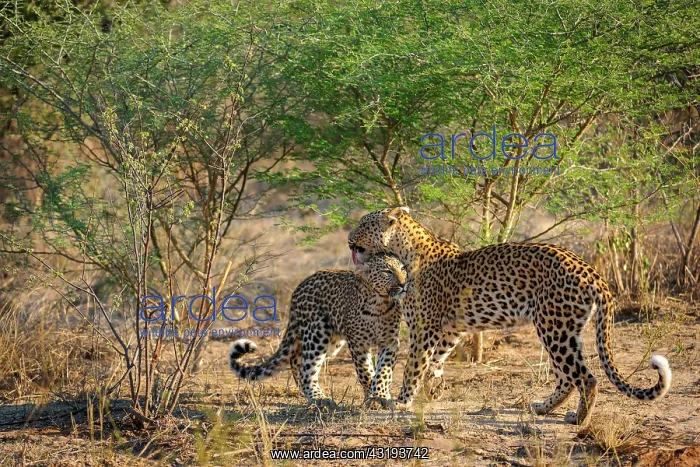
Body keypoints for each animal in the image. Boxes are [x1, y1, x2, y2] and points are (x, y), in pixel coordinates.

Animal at [229, 253, 408, 409]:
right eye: (387, 271)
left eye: (403, 268)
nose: (403, 284)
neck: (379, 303)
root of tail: (299, 287)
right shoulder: (358, 343)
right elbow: (365, 371)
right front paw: (374, 395)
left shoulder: (389, 341)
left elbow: (383, 371)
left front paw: (381, 395)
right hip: (318, 333)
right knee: (306, 369)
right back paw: (318, 398)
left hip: (332, 342)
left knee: (296, 360)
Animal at [347, 207, 672, 425]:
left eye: (363, 223)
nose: (349, 239)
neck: (404, 250)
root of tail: (591, 271)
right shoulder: (450, 329)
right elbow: (435, 362)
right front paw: (433, 390)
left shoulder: (424, 327)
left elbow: (414, 365)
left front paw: (402, 402)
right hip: (563, 329)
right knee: (567, 378)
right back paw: (541, 408)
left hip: (554, 327)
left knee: (585, 378)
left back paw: (579, 420)